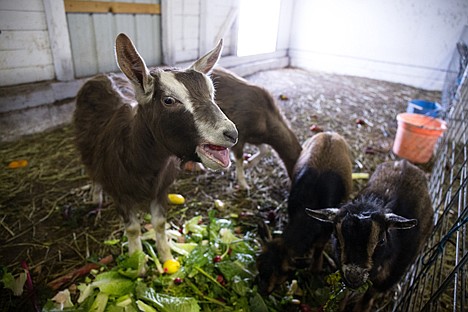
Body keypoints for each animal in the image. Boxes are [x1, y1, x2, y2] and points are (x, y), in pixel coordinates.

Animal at [76, 33, 241, 264]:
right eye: (169, 100)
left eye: (211, 92)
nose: (231, 134)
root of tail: (101, 76)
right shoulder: (121, 194)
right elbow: (133, 229)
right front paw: (138, 264)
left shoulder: (161, 189)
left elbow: (160, 224)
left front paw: (166, 257)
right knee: (91, 170)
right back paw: (95, 198)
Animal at [256, 132, 352, 294]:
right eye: (259, 261)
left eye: (284, 272)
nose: (262, 290)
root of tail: (330, 133)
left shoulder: (326, 230)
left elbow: (318, 251)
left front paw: (316, 270)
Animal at [308, 160, 434, 310]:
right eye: (337, 237)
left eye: (381, 241)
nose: (354, 276)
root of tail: (406, 163)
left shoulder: (389, 277)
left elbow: (369, 296)